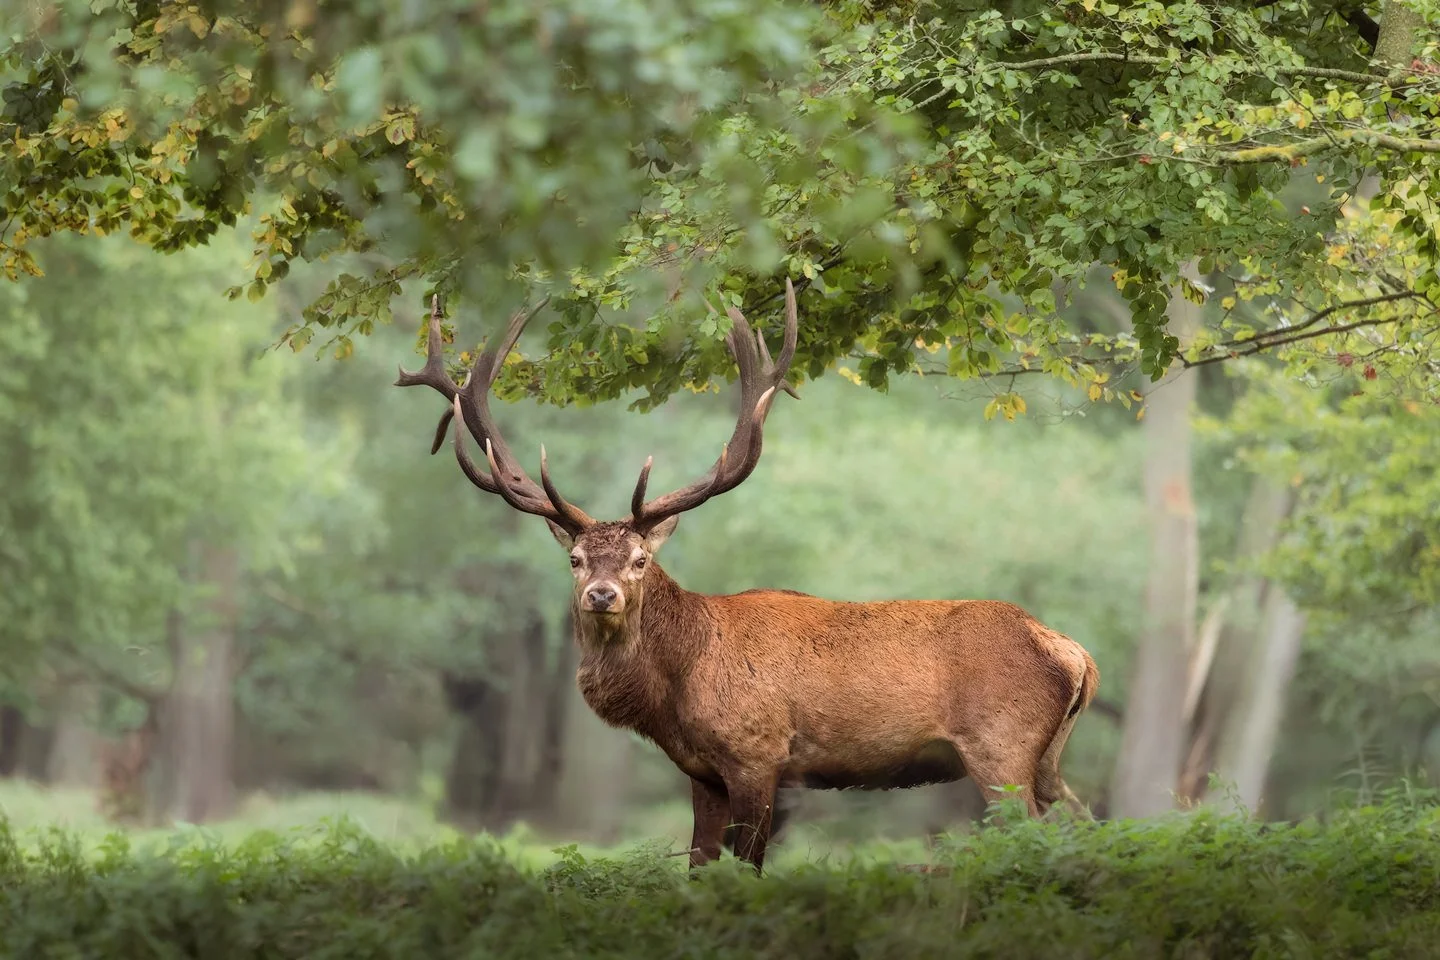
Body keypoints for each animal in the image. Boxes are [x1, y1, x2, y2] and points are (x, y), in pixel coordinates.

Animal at [396, 279, 1100, 874]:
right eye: (575, 559)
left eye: (640, 560)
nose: (602, 594)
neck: (678, 691)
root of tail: (1074, 654)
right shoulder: (702, 774)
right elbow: (699, 870)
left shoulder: (758, 757)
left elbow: (746, 871)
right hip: (1045, 760)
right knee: (1085, 825)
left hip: (1000, 747)